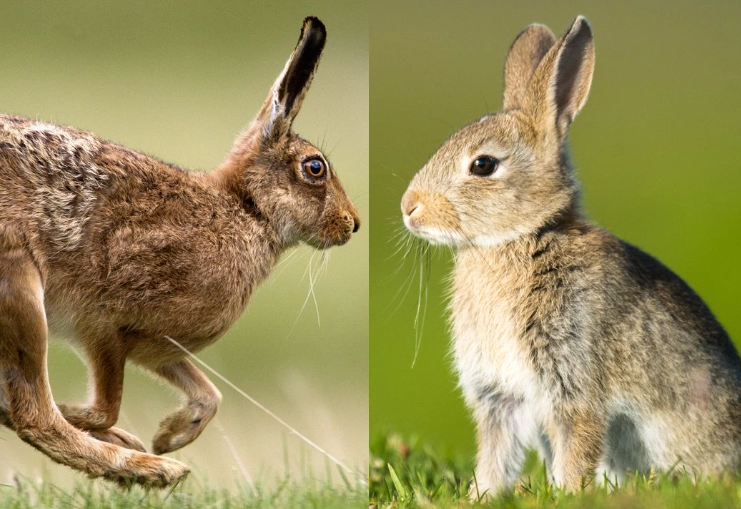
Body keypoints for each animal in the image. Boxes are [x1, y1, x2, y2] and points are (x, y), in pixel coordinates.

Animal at [0, 16, 359, 488]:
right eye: (315, 168)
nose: (353, 224)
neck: (246, 209)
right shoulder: (106, 326)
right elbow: (103, 408)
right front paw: (142, 439)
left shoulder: (157, 348)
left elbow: (210, 394)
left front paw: (169, 435)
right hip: (19, 287)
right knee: (34, 414)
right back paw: (153, 469)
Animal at [401, 15, 741, 496]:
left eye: (483, 165)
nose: (409, 207)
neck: (521, 237)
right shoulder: (499, 396)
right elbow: (495, 453)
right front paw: (482, 495)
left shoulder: (573, 379)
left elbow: (576, 444)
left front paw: (568, 493)